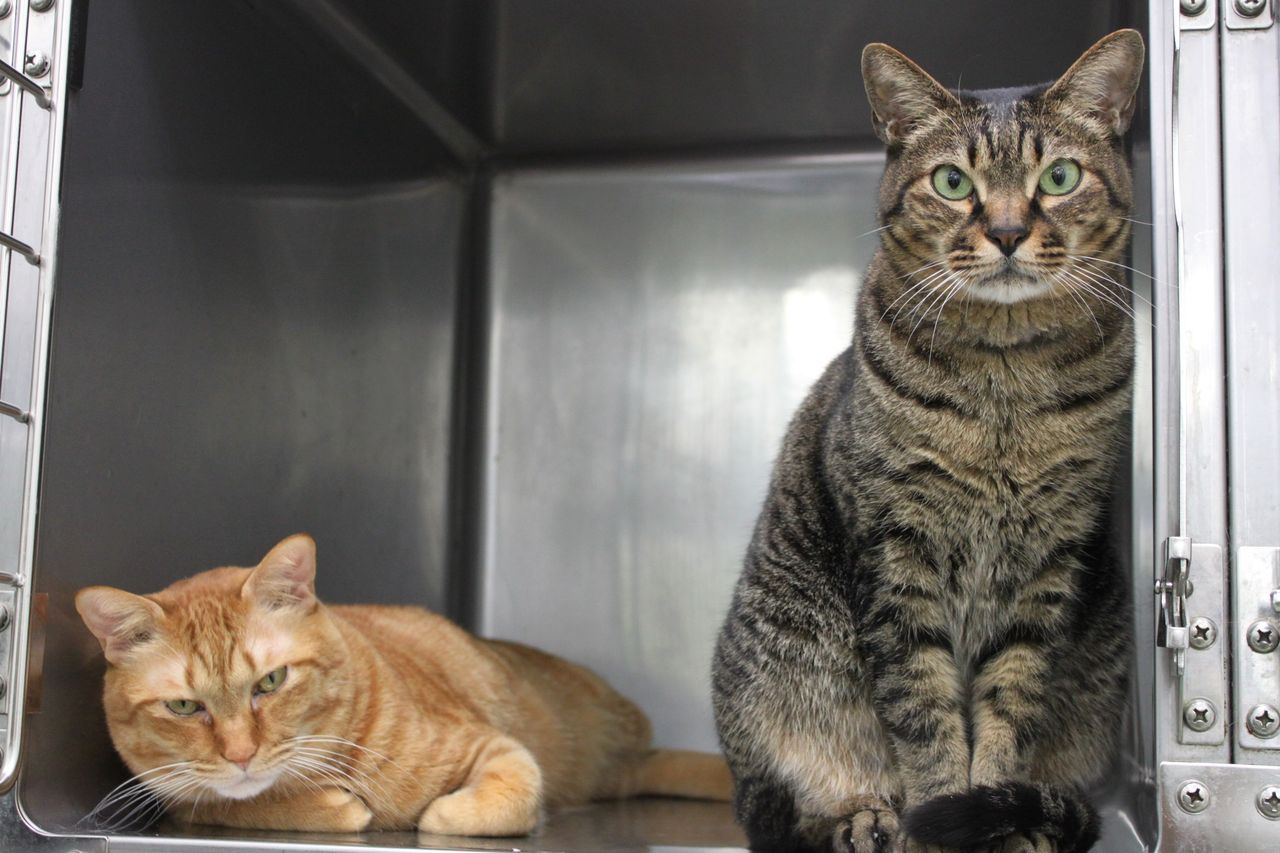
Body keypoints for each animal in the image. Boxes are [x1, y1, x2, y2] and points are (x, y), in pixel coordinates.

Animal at [76, 534, 732, 834]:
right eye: (184, 706)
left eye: (272, 681)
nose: (240, 754)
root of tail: (629, 758)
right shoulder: (181, 799)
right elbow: (224, 805)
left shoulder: (495, 747)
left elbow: (506, 797)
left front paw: (440, 814)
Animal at [711, 30, 1143, 853]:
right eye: (951, 182)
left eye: (1059, 176)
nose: (1006, 232)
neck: (1005, 387)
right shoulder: (895, 553)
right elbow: (923, 713)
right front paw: (938, 816)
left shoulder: (1049, 561)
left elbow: (1009, 707)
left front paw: (995, 818)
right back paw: (863, 816)